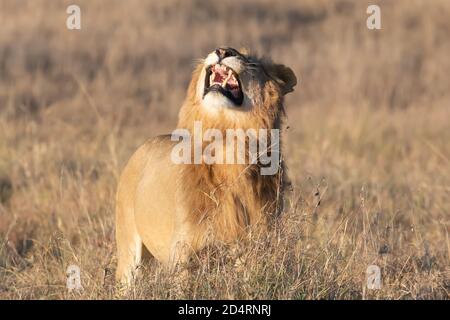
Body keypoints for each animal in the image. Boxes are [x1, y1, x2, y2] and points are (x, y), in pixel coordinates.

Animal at [115, 46, 296, 284]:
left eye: (252, 61)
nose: (223, 50)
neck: (227, 139)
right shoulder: (184, 251)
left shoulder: (253, 248)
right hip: (128, 249)